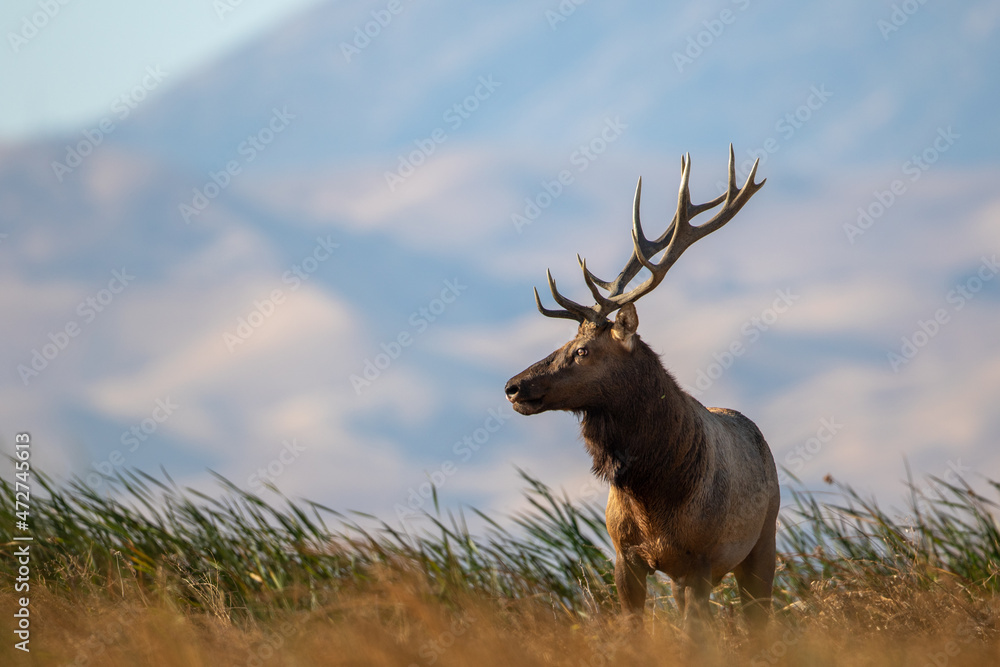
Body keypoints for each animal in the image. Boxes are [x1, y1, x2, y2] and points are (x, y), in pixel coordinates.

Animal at [504, 146, 779, 635]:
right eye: (565, 343)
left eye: (583, 351)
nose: (514, 387)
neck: (652, 498)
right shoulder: (625, 557)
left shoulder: (700, 561)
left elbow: (696, 640)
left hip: (763, 542)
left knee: (759, 621)